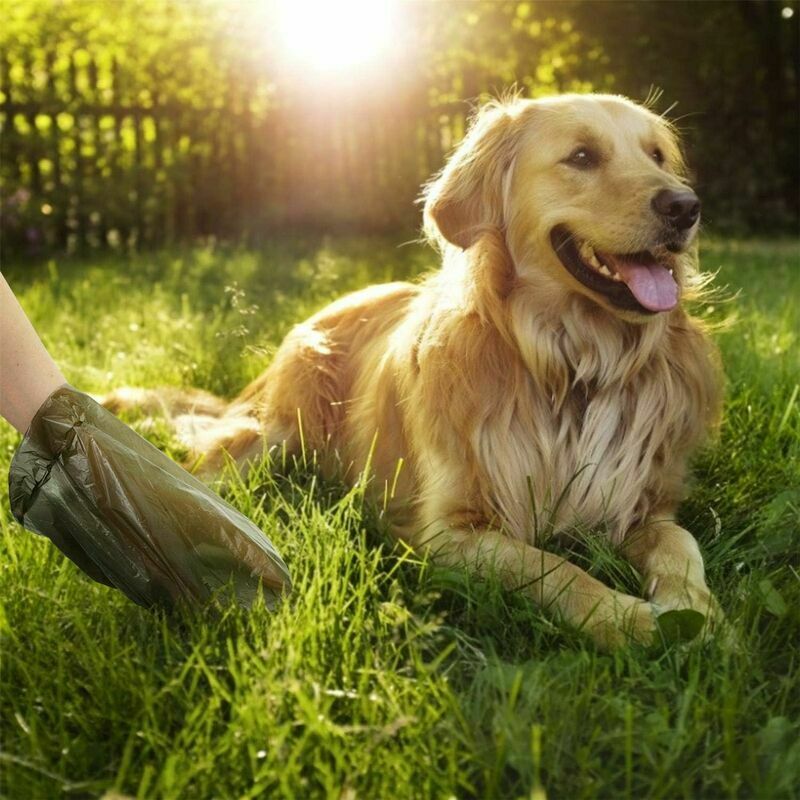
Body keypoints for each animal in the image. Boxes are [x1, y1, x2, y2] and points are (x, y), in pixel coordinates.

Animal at [103, 94, 720, 648]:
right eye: (583, 156)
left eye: (658, 155)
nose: (686, 207)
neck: (572, 366)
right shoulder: (450, 530)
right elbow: (555, 568)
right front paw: (631, 621)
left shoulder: (642, 503)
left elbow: (680, 542)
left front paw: (697, 611)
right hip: (276, 432)